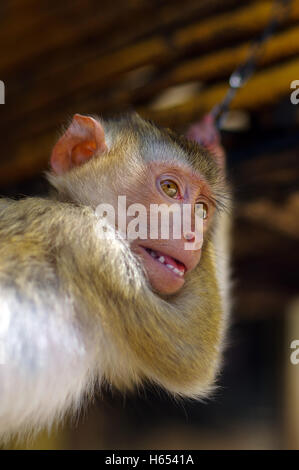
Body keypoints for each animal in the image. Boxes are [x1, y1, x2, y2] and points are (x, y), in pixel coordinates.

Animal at [0, 111, 231, 440]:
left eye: (202, 210)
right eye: (170, 189)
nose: (195, 237)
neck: (73, 205)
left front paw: (209, 138)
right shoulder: (90, 240)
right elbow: (193, 351)